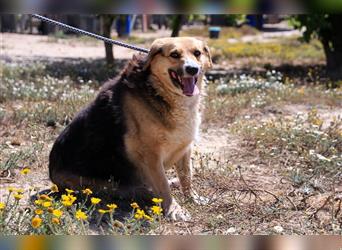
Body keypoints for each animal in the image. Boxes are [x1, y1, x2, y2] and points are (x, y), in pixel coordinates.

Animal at [49, 37, 212, 221]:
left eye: (197, 53)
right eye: (174, 54)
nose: (192, 69)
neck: (157, 89)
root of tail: (52, 174)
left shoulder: (185, 147)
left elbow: (186, 177)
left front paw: (192, 198)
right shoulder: (151, 156)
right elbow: (163, 186)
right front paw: (173, 209)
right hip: (105, 185)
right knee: (142, 189)